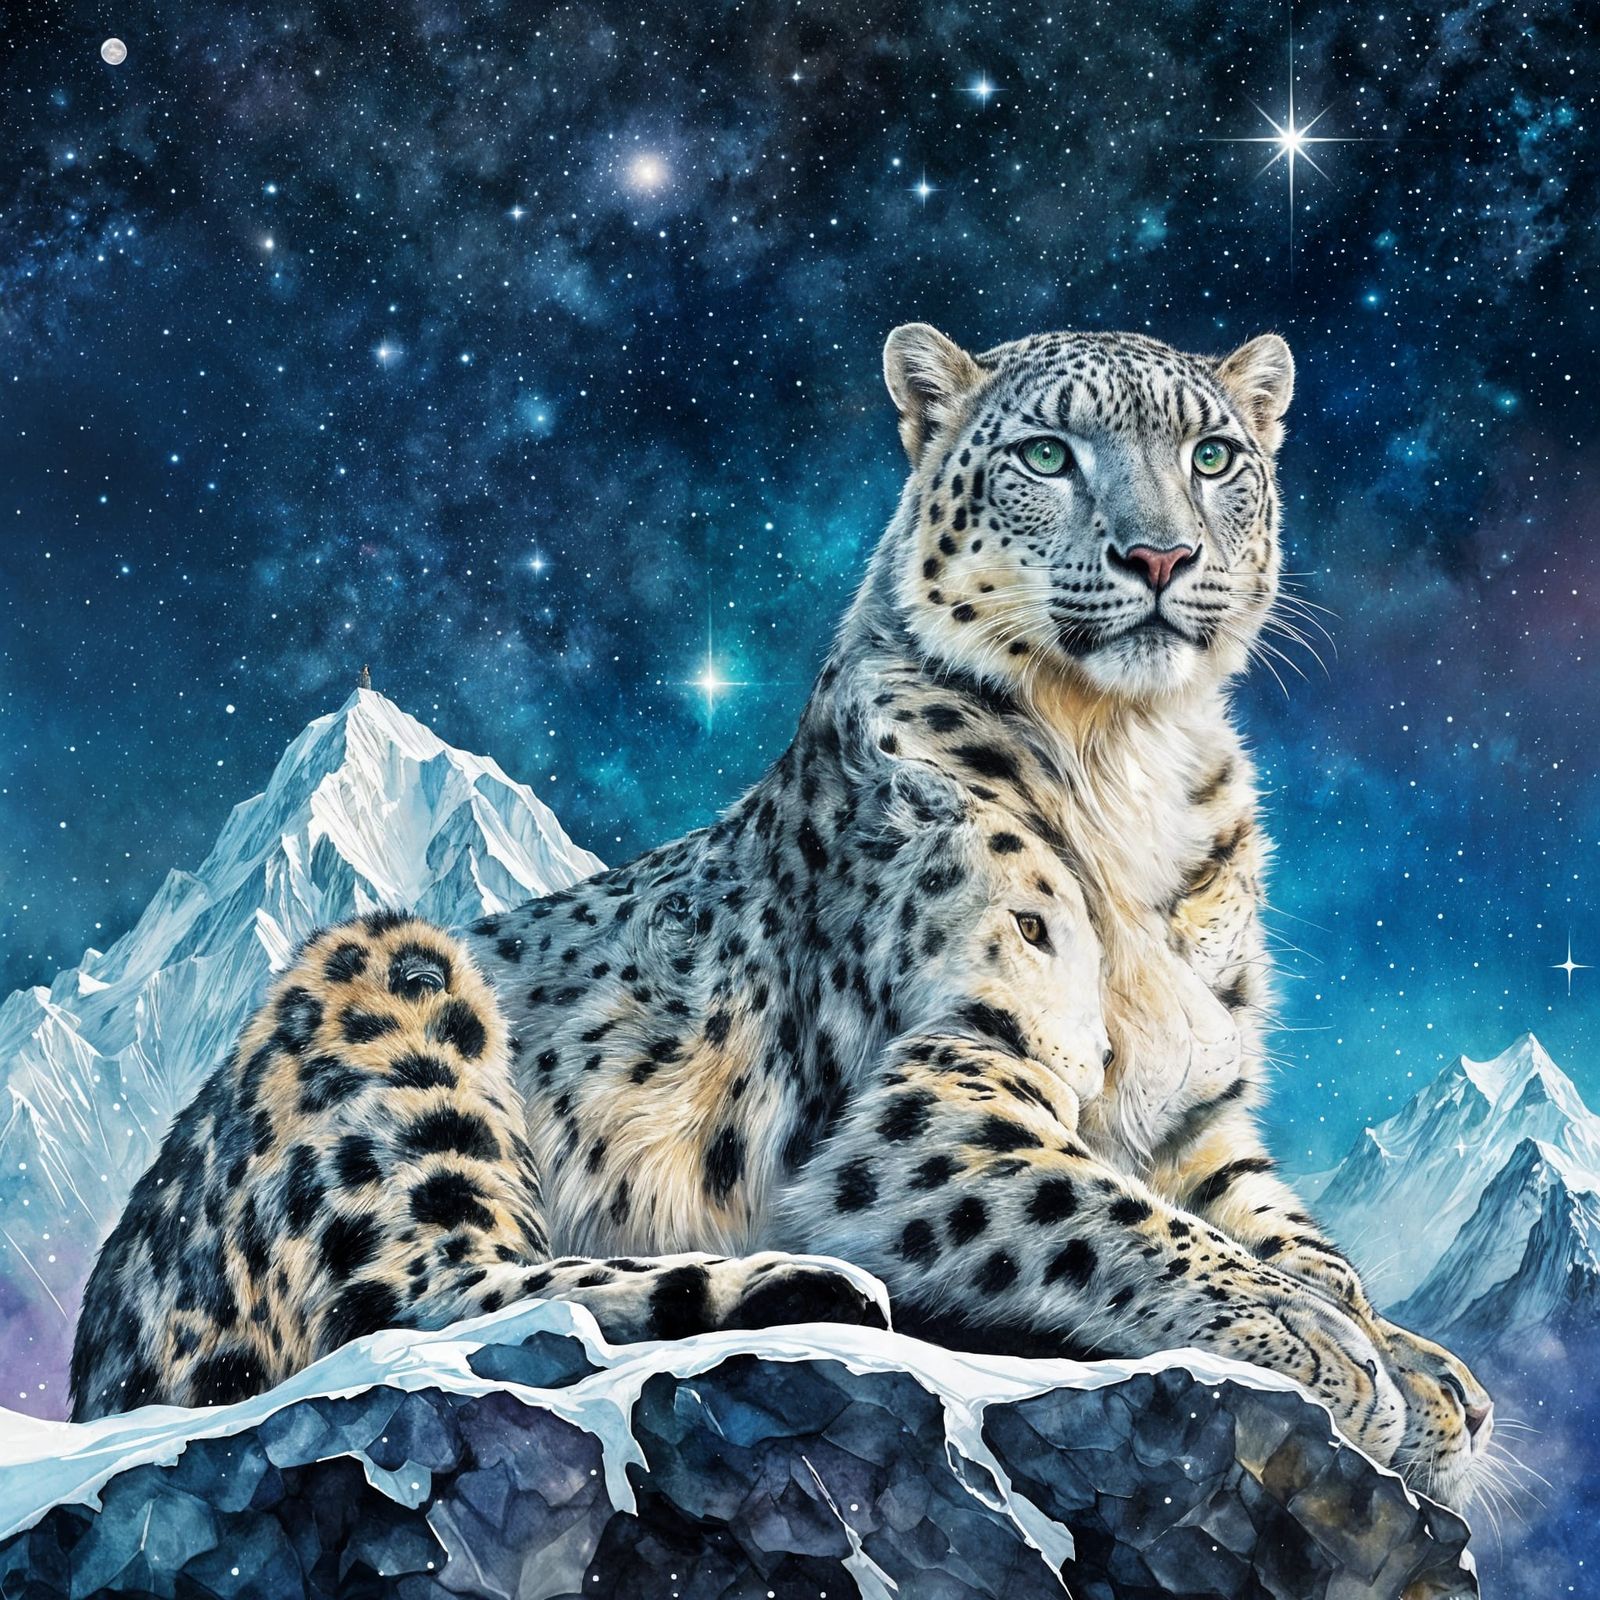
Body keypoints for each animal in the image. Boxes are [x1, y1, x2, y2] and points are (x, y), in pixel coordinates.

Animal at [71, 322, 1492, 1513]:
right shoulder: (944, 1094)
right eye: (1046, 452)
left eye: (1212, 456)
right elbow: (1117, 1214)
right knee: (427, 1296)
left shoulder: (1200, 1112)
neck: (1129, 755)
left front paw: (1415, 1367)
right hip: (389, 977)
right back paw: (801, 1280)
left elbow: (1286, 1228)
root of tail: (103, 1332)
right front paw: (1321, 1346)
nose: (1160, 555)